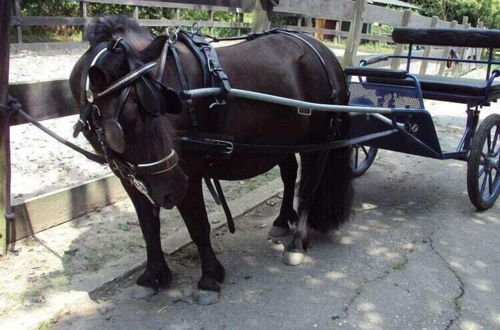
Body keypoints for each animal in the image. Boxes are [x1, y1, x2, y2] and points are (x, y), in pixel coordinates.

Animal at [69, 15, 352, 302]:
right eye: (123, 124)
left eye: (161, 109)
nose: (172, 189)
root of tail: (325, 54)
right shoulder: (130, 176)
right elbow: (148, 226)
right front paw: (153, 276)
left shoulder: (189, 174)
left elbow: (197, 226)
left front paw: (209, 278)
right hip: (283, 140)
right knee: (289, 174)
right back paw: (282, 221)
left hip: (316, 142)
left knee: (307, 188)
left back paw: (296, 243)